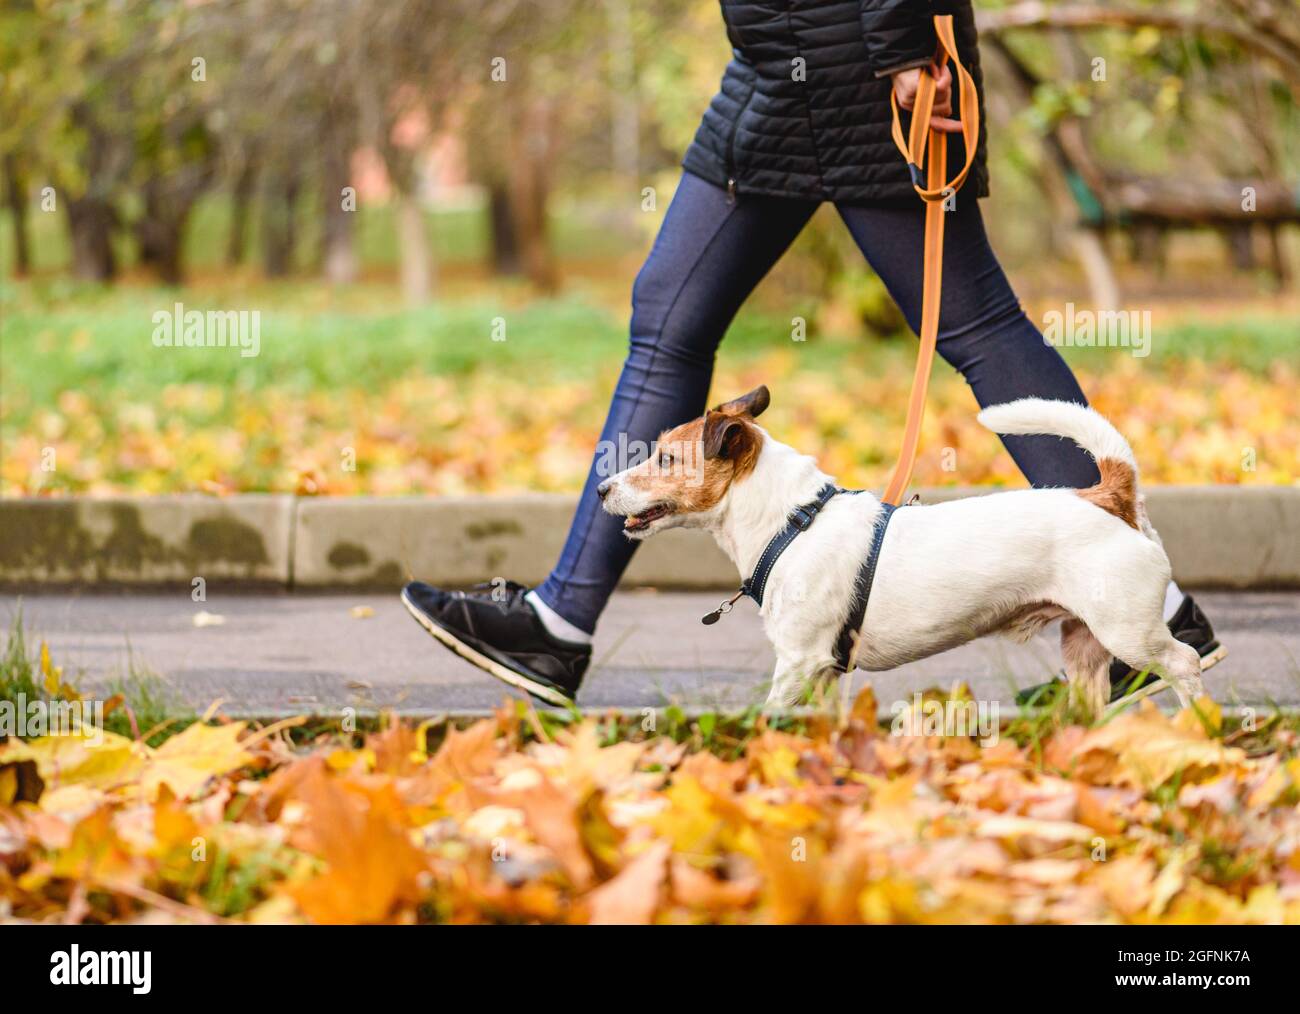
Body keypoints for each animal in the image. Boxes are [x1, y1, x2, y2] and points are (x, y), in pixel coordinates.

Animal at [598, 387, 1206, 712]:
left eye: (666, 460)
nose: (602, 489)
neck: (791, 523)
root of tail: (1109, 494)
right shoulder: (823, 673)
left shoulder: (798, 661)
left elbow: (771, 714)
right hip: (1084, 649)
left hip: (1128, 631)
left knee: (1186, 662)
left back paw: (1200, 724)